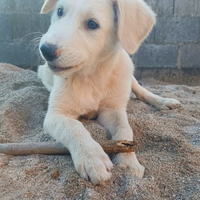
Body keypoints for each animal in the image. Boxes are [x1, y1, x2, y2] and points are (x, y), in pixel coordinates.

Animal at [37, 0, 180, 184]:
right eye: (60, 11)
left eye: (92, 24)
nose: (46, 50)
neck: (91, 76)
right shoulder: (56, 115)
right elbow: (73, 127)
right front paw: (92, 158)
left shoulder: (112, 110)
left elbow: (124, 128)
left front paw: (128, 161)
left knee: (139, 88)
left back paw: (163, 101)